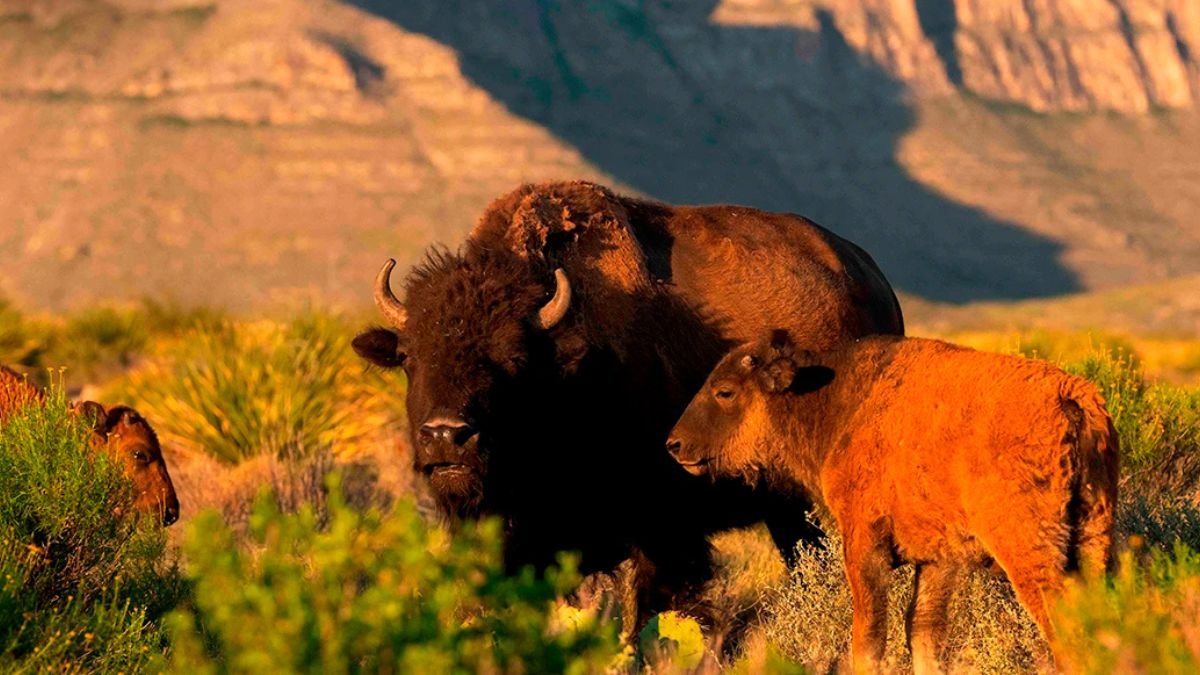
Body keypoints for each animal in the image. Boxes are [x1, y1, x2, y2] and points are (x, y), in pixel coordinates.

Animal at [668, 332, 1118, 672]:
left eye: (725, 392)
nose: (675, 444)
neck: (838, 401)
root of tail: (1070, 396)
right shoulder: (939, 559)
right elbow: (923, 631)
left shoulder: (864, 542)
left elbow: (869, 633)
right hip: (1095, 538)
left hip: (1029, 552)